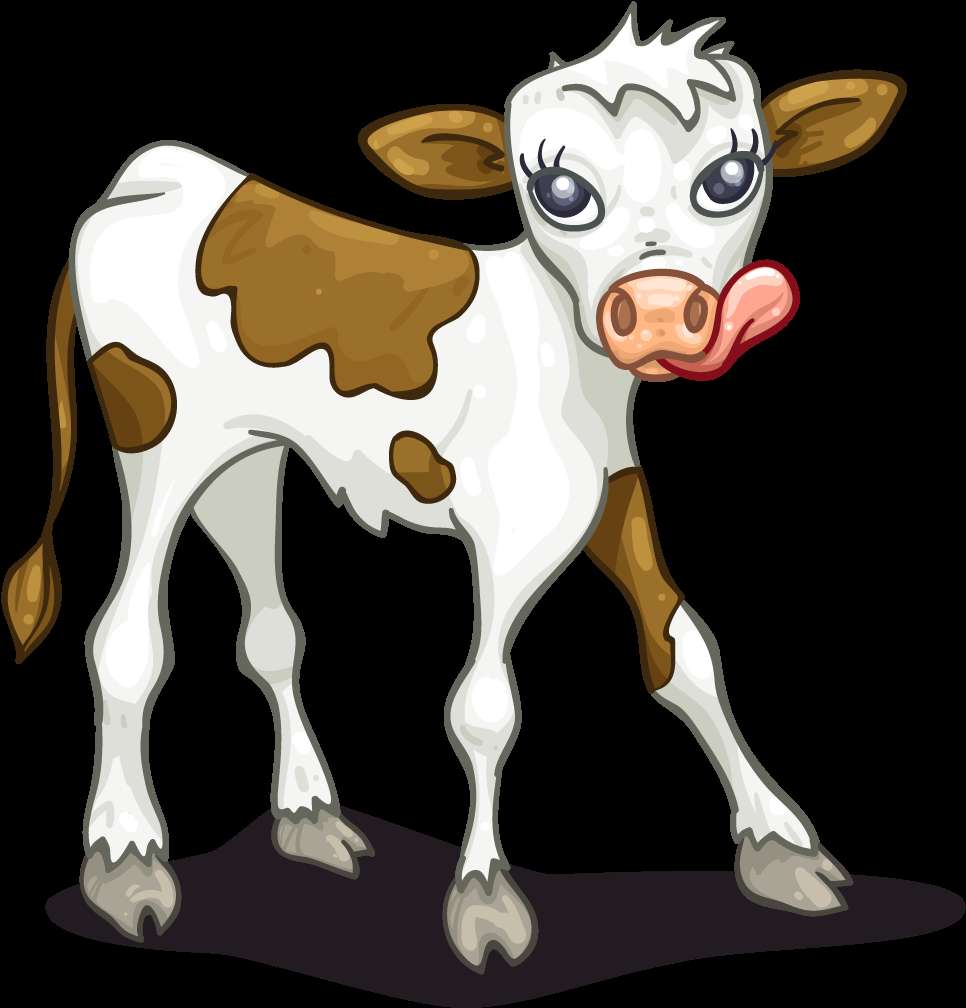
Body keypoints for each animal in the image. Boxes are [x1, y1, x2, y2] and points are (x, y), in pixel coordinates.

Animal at [4, 7, 903, 972]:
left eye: (731, 177)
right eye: (559, 190)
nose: (659, 312)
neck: (564, 359)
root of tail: (152, 173)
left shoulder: (611, 494)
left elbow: (685, 651)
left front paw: (780, 846)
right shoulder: (509, 531)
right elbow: (485, 709)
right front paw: (484, 899)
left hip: (247, 458)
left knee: (271, 631)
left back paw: (309, 816)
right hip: (157, 444)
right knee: (125, 640)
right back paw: (126, 858)